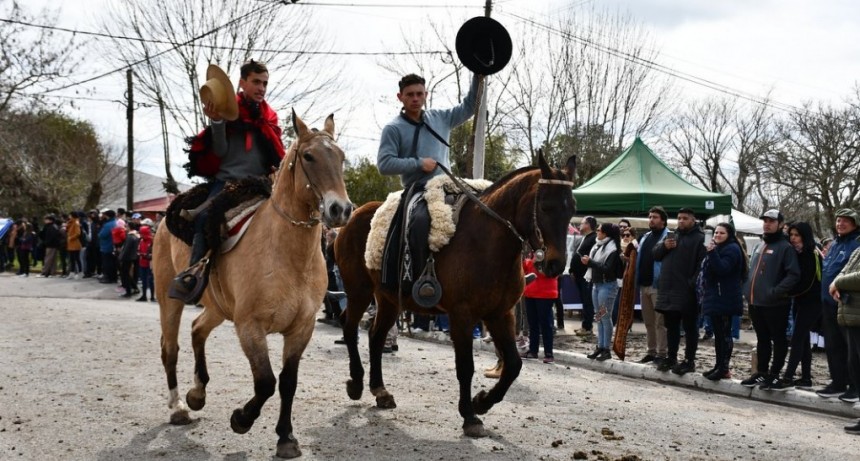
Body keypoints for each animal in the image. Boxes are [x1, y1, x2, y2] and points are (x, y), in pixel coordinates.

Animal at [153, 110, 352, 456]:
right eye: (309, 156)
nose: (340, 209)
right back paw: (178, 407)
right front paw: (241, 420)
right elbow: (266, 382)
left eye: (340, 157)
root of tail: (165, 220)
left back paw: (197, 394)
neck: (288, 254)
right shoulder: (250, 326)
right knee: (171, 349)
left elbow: (287, 382)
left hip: (218, 307)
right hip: (170, 300)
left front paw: (286, 437)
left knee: (197, 330)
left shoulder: (301, 328)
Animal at [332, 153, 576, 436]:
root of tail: (355, 214)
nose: (556, 265)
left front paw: (482, 402)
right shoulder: (463, 315)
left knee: (376, 336)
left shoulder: (500, 314)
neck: (487, 242)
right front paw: (470, 415)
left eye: (572, 208)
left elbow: (514, 364)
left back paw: (380, 391)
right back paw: (356, 383)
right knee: (350, 326)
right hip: (359, 290)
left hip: (388, 299)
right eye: (546, 206)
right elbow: (466, 367)